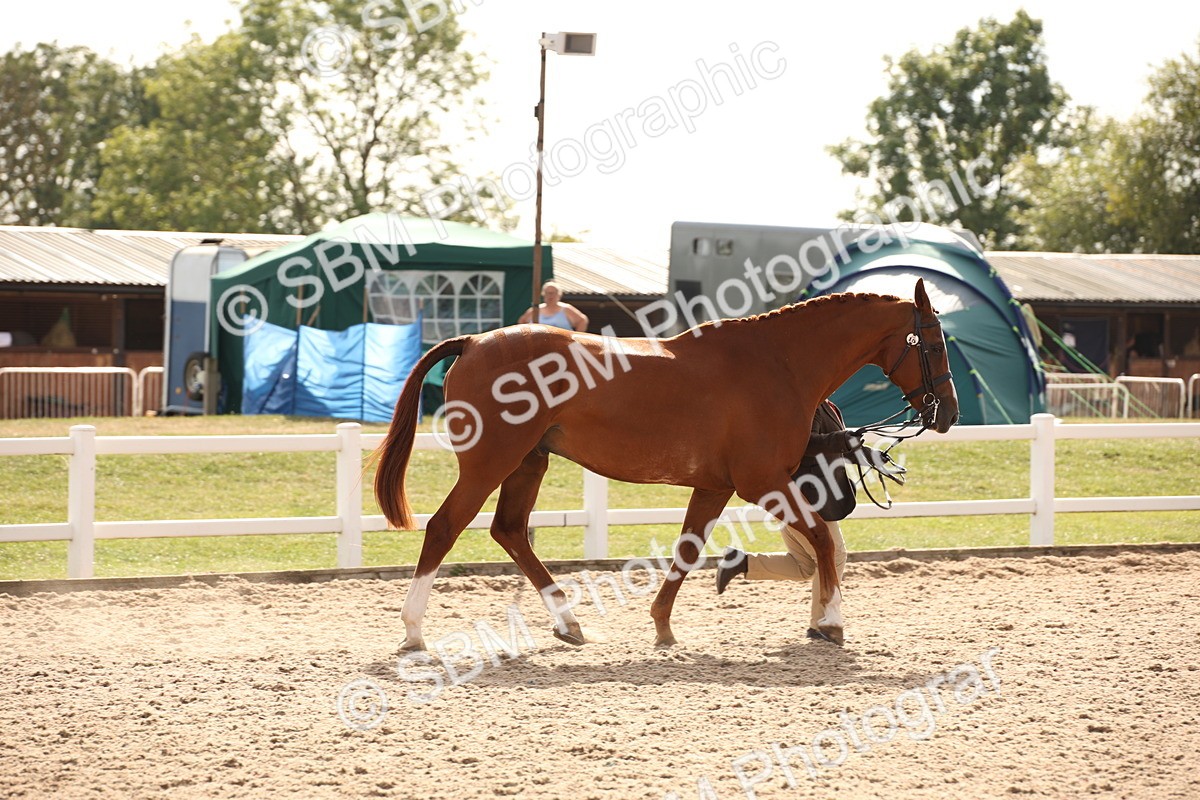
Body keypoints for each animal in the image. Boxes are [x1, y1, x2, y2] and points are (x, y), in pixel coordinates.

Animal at [374, 278, 959, 650]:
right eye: (933, 344)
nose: (948, 412)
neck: (778, 363)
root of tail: (473, 340)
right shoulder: (765, 484)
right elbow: (820, 540)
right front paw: (833, 623)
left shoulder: (716, 487)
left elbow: (687, 549)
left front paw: (662, 627)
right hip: (490, 463)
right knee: (445, 527)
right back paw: (413, 631)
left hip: (527, 463)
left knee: (510, 531)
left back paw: (569, 624)